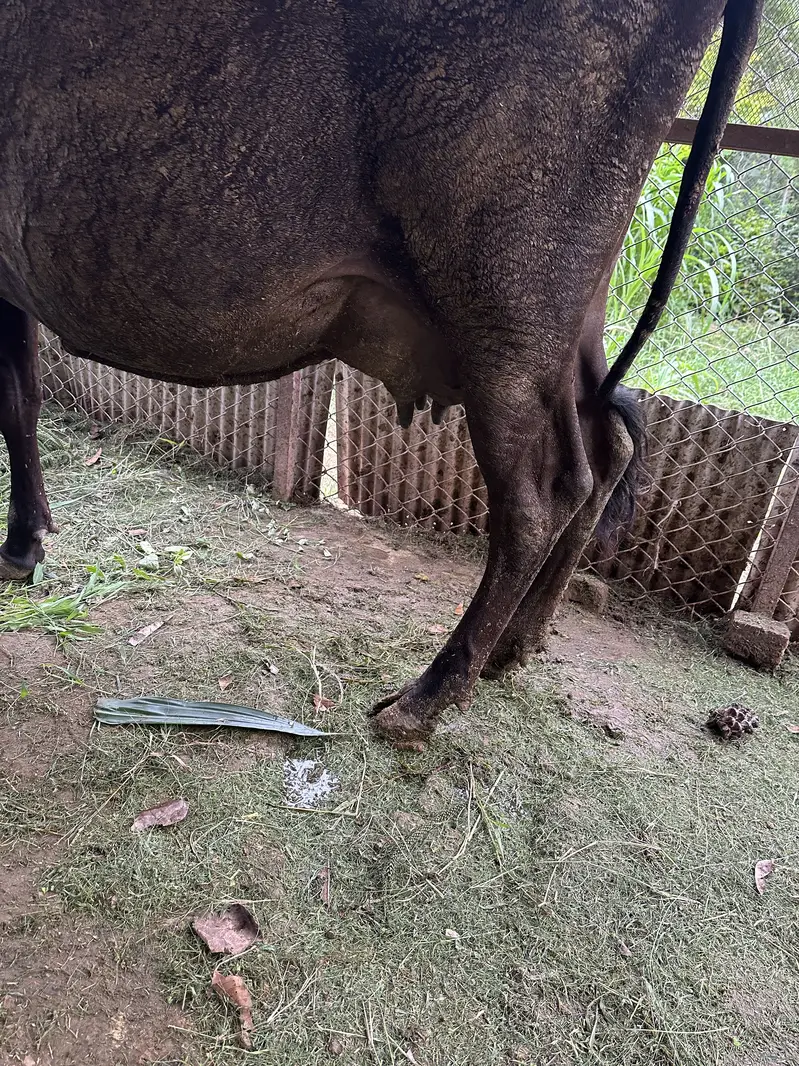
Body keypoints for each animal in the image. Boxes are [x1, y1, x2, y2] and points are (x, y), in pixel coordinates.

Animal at [0, 0, 761, 746]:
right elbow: (23, 400)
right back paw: (513, 648)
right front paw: (26, 542)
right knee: (609, 453)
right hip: (572, 324)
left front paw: (16, 547)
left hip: (505, 311)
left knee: (541, 497)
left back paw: (425, 698)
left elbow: (8, 407)